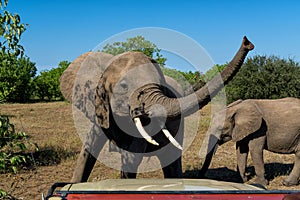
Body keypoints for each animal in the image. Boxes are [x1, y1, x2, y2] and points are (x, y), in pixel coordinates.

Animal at [59, 35, 253, 181]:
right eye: (123, 86)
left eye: (160, 84)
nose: (247, 42)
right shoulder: (100, 110)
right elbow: (87, 151)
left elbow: (132, 157)